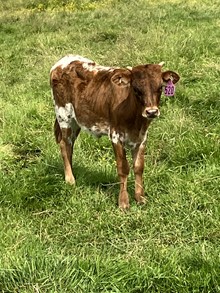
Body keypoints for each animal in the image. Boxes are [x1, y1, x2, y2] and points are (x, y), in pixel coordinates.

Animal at [50, 54, 180, 209]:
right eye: (136, 89)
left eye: (160, 87)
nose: (151, 112)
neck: (136, 121)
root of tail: (64, 60)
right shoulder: (115, 136)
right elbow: (123, 168)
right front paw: (123, 202)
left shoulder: (142, 138)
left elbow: (139, 167)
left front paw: (140, 198)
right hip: (64, 117)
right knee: (65, 145)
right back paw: (70, 179)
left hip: (76, 121)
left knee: (69, 147)